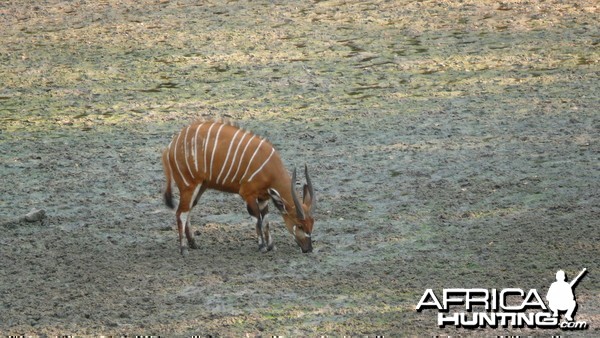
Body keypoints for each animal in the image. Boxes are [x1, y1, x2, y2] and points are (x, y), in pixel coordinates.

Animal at [162, 120, 316, 255]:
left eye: (312, 224)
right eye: (300, 225)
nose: (308, 249)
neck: (270, 167)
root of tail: (170, 146)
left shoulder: (263, 197)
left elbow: (266, 220)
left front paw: (271, 246)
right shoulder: (248, 194)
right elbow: (257, 219)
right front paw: (262, 247)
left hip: (200, 187)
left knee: (188, 210)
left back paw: (193, 243)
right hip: (188, 185)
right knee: (181, 213)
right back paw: (183, 249)